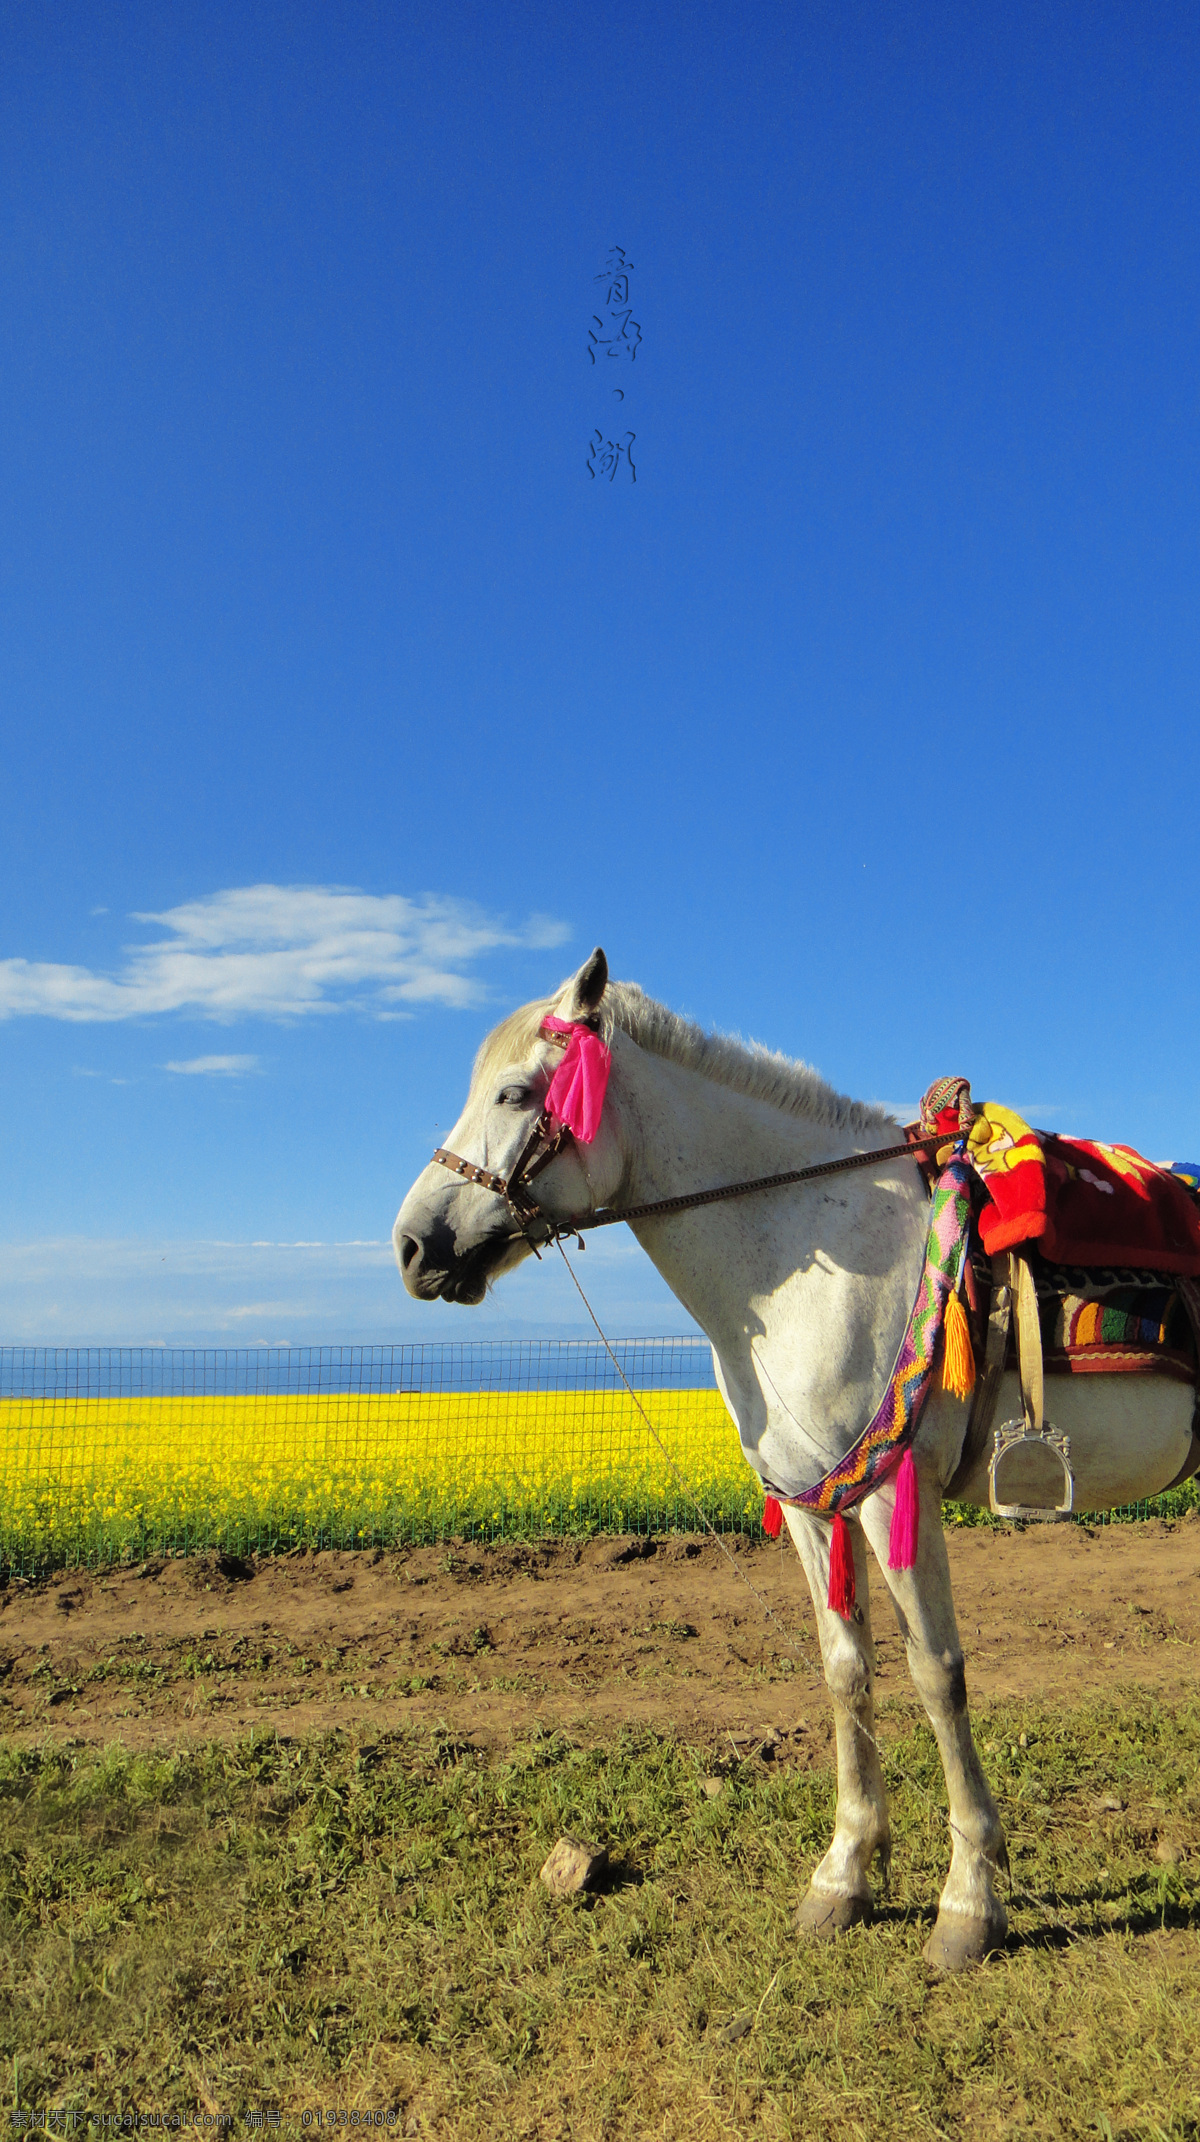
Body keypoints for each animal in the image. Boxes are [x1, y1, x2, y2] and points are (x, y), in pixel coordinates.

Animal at [392, 955, 1191, 1970]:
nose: (414, 1245)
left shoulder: (897, 1495)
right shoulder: (815, 1506)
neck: (819, 1254)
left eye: (518, 1092)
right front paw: (844, 1876)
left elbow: (938, 1673)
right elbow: (846, 1671)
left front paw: (969, 1900)